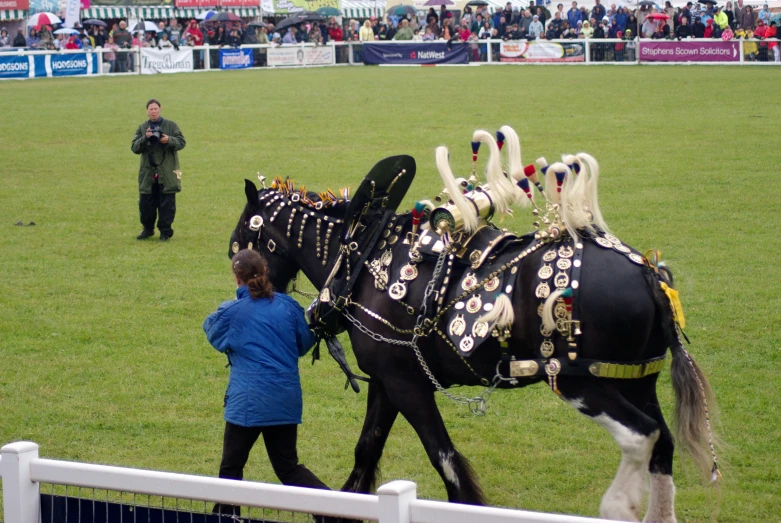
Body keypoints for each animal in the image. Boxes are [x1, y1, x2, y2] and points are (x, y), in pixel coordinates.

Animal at [229, 177, 716, 523]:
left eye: (237, 243)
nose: (241, 289)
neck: (362, 261)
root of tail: (649, 273)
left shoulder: (408, 387)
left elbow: (445, 459)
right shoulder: (388, 382)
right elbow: (366, 450)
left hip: (582, 383)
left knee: (641, 436)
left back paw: (617, 505)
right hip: (635, 380)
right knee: (663, 443)